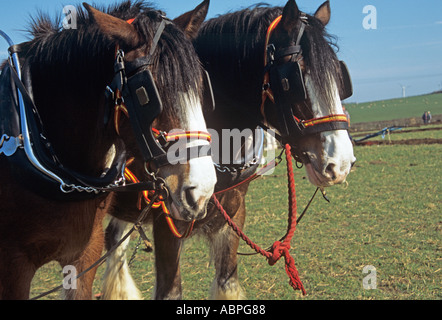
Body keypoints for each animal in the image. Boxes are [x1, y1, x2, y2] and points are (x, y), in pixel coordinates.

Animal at [102, 0, 356, 300]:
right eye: (295, 80)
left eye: (340, 76)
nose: (341, 164)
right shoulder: (168, 225)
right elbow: (171, 291)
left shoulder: (234, 213)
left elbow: (227, 280)